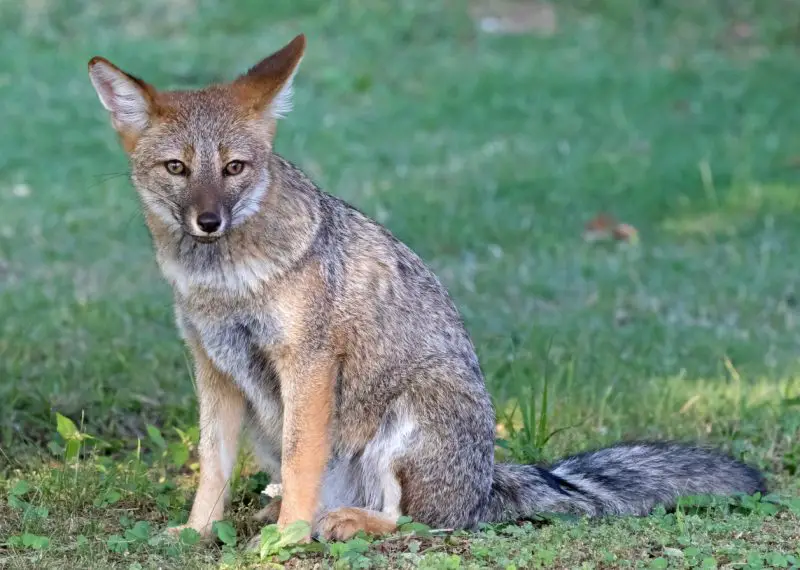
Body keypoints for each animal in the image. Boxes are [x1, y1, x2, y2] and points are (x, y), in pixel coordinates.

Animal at [86, 34, 766, 544]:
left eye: (234, 168)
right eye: (178, 168)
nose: (209, 221)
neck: (222, 284)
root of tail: (487, 484)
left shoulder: (308, 364)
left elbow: (303, 459)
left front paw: (286, 540)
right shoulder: (215, 369)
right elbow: (212, 469)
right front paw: (198, 533)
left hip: (408, 422)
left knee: (422, 522)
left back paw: (335, 523)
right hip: (269, 427)